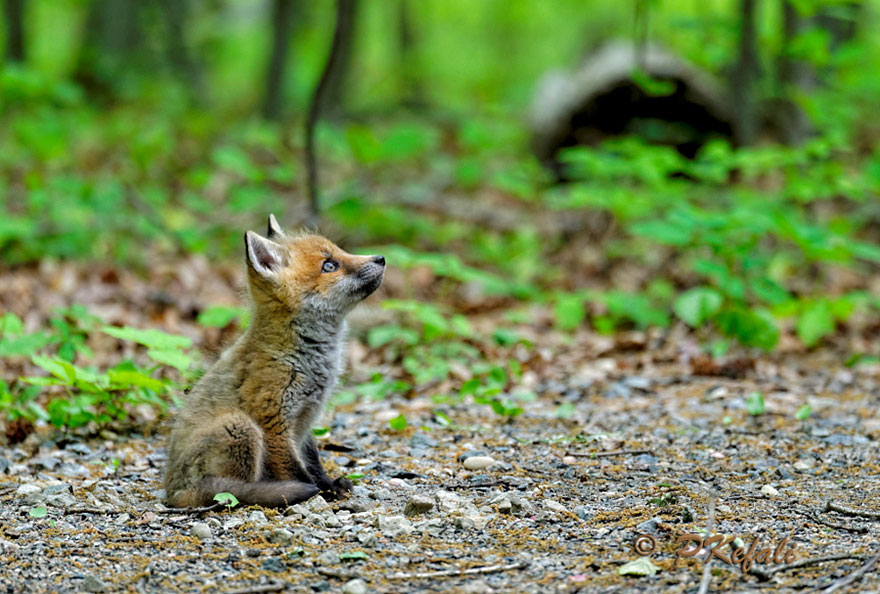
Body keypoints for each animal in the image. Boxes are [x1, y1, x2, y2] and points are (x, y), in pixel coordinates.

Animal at [163, 215, 385, 508]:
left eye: (340, 251)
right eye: (329, 265)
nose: (381, 258)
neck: (301, 359)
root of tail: (172, 493)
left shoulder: (305, 422)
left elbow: (313, 463)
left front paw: (329, 485)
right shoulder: (274, 422)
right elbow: (297, 471)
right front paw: (320, 493)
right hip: (241, 426)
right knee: (227, 492)